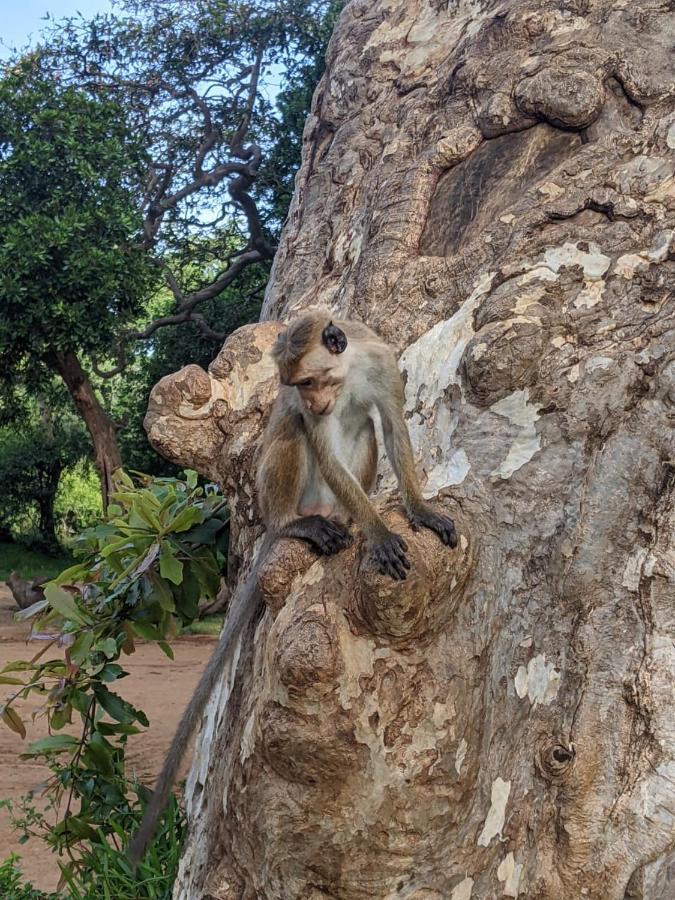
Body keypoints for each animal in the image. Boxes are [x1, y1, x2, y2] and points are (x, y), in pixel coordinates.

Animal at [129, 310, 456, 864]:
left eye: (307, 380)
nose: (308, 400)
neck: (347, 372)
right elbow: (318, 442)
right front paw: (379, 532)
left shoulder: (383, 365)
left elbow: (391, 426)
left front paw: (418, 510)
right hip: (281, 493)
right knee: (290, 436)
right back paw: (296, 526)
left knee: (362, 432)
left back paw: (347, 518)